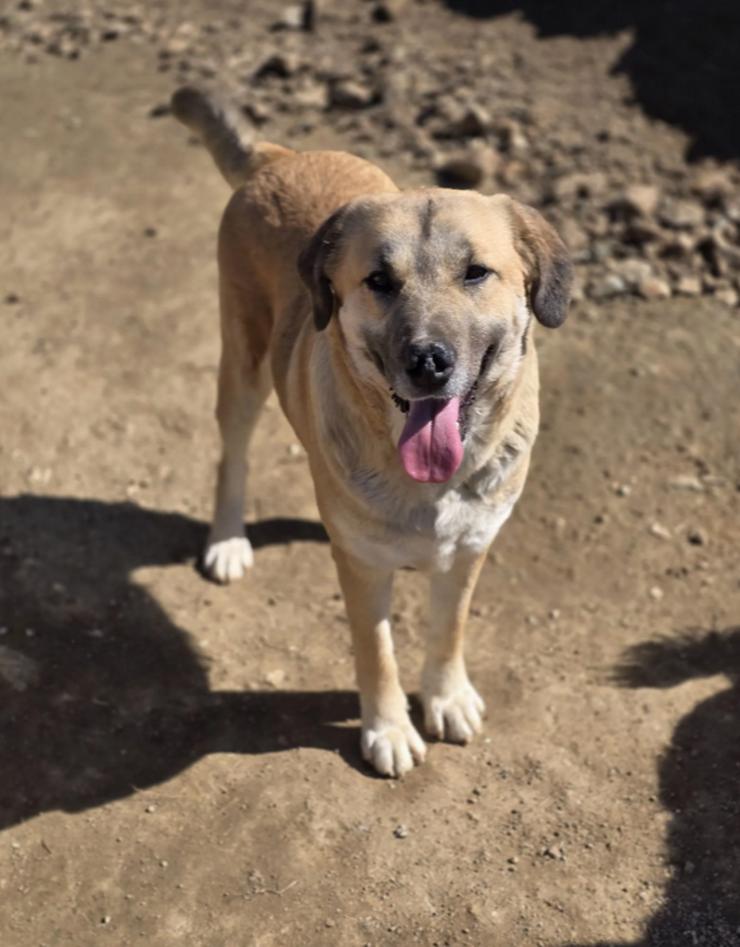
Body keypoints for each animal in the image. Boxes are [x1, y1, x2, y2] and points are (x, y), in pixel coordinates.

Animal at [172, 85, 572, 776]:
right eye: (379, 281)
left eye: (476, 273)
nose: (428, 362)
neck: (431, 486)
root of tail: (277, 156)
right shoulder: (361, 572)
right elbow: (376, 650)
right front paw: (388, 729)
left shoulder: (471, 549)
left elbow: (448, 628)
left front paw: (446, 696)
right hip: (243, 364)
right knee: (234, 456)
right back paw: (227, 541)